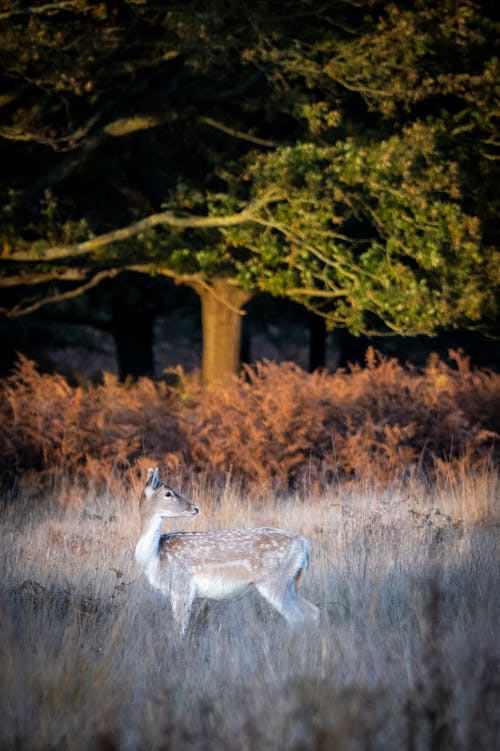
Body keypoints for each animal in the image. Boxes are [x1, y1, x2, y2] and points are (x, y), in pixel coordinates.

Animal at [135, 470, 318, 636]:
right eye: (168, 493)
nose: (195, 508)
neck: (155, 558)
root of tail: (304, 544)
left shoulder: (182, 586)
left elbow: (179, 629)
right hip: (289, 583)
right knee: (312, 611)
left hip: (274, 580)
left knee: (298, 616)